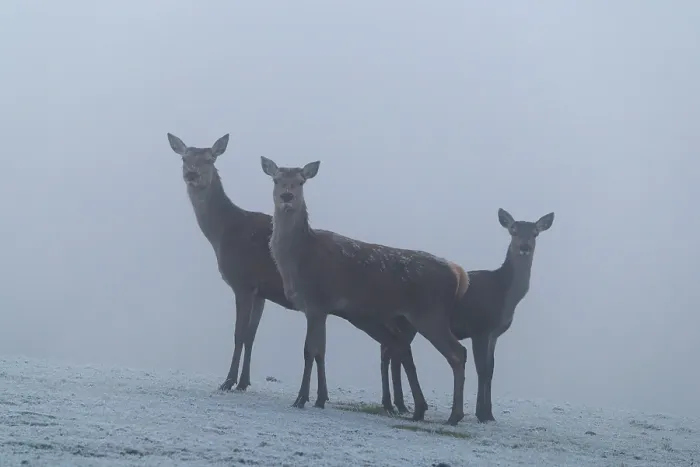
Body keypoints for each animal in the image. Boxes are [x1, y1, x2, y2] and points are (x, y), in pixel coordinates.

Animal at [166, 133, 431, 420]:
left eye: (210, 158)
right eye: (184, 158)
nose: (192, 174)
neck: (223, 233)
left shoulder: (243, 282)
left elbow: (239, 334)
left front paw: (228, 381)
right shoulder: (261, 292)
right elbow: (251, 335)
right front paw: (244, 382)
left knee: (394, 347)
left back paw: (400, 404)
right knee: (393, 348)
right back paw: (396, 403)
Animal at [260, 157, 471, 426]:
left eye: (300, 181)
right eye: (276, 179)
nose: (287, 196)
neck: (298, 258)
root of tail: (459, 274)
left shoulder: (316, 301)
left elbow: (309, 351)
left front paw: (301, 399)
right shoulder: (320, 308)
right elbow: (320, 351)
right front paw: (319, 398)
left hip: (430, 313)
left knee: (457, 353)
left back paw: (454, 415)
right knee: (407, 349)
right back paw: (421, 409)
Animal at [379, 208, 555, 422]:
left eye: (535, 233)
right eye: (513, 230)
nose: (524, 247)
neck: (503, 294)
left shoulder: (494, 334)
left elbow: (491, 370)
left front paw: (490, 414)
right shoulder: (479, 327)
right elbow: (482, 369)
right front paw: (482, 413)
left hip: (403, 321)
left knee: (389, 351)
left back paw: (399, 405)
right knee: (389, 351)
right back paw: (394, 404)